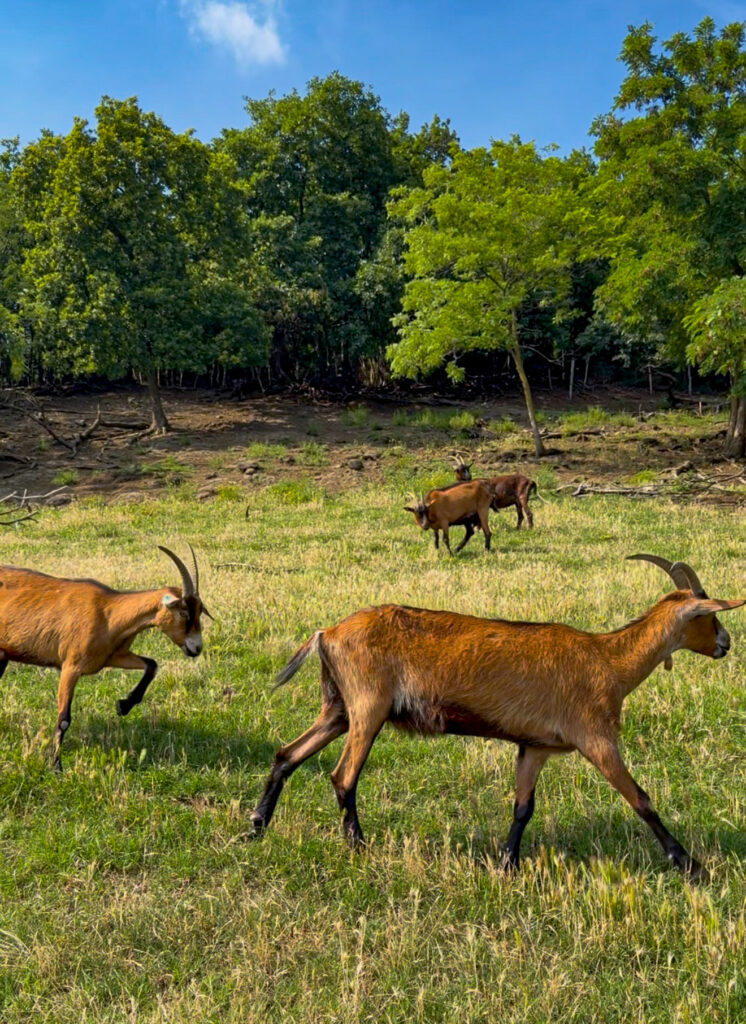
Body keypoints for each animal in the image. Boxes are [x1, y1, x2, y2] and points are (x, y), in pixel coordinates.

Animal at [0, 546, 210, 769]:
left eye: (199, 612)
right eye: (184, 613)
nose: (196, 648)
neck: (109, 613)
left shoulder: (113, 657)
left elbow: (151, 664)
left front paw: (123, 706)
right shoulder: (70, 666)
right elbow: (64, 719)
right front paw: (56, 766)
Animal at [251, 555, 742, 878]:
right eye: (707, 615)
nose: (726, 644)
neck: (608, 659)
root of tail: (327, 632)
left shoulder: (535, 747)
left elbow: (523, 807)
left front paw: (507, 864)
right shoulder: (597, 739)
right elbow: (640, 798)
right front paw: (690, 864)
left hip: (339, 708)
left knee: (286, 754)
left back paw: (256, 827)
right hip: (368, 707)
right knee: (343, 775)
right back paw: (357, 847)